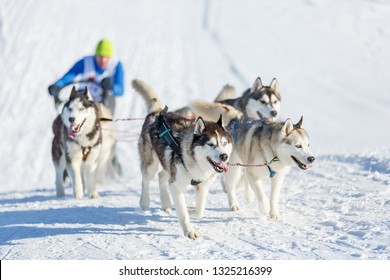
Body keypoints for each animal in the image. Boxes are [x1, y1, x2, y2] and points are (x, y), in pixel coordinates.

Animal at [133, 80, 233, 240]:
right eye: (211, 144)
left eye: (224, 143)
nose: (224, 156)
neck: (196, 163)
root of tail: (156, 113)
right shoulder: (176, 186)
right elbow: (183, 213)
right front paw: (189, 231)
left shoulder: (202, 186)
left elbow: (200, 211)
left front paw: (192, 210)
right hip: (150, 163)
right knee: (146, 180)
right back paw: (145, 201)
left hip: (168, 164)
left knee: (162, 175)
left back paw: (166, 203)